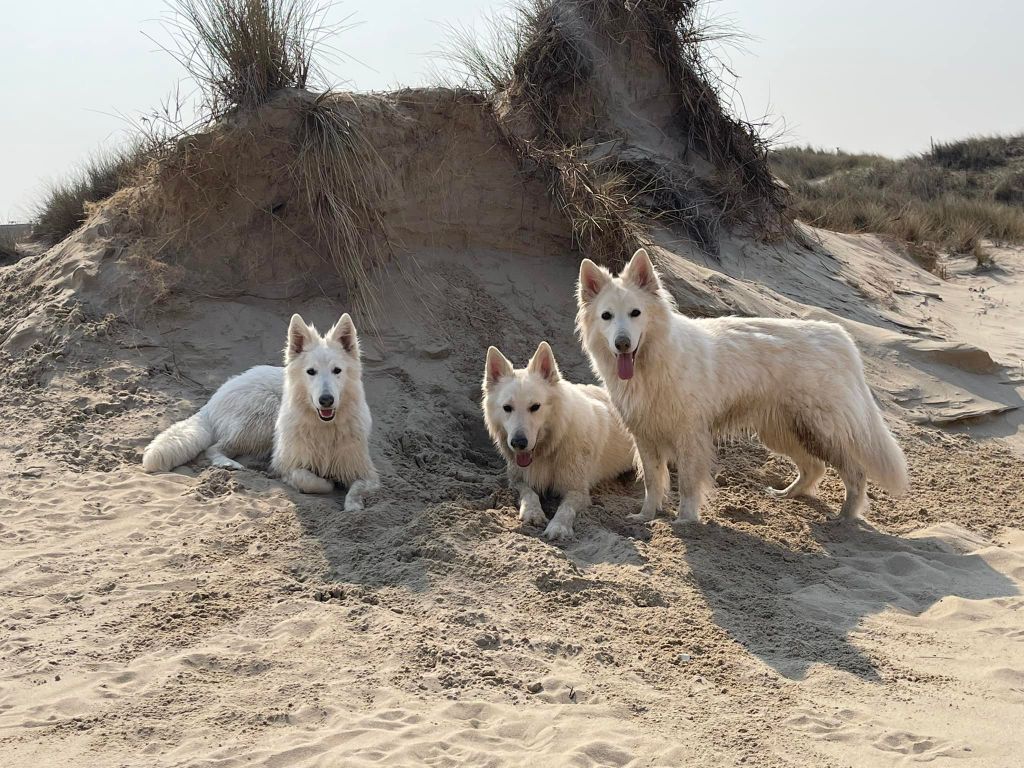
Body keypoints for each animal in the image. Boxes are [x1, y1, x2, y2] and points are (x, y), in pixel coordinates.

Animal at [142, 313, 378, 512]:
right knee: (213, 448)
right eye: (311, 372)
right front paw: (327, 482)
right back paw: (229, 463)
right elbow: (312, 482)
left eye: (337, 371)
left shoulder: (365, 472)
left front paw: (353, 505)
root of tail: (213, 400)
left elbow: (358, 489)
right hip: (262, 418)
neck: (325, 428)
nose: (326, 400)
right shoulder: (287, 463)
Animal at [483, 342, 634, 540]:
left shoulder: (577, 491)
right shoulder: (516, 481)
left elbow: (565, 508)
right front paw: (533, 512)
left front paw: (558, 527)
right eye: (507, 408)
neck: (551, 446)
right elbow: (529, 494)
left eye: (535, 407)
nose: (518, 443)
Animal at [577, 249, 905, 528]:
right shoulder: (645, 436)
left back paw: (845, 517)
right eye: (607, 316)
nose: (622, 344)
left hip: (820, 431)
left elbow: (687, 483)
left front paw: (685, 520)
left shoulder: (689, 436)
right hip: (784, 431)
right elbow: (652, 482)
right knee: (814, 468)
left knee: (856, 473)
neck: (653, 362)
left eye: (636, 313)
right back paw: (788, 495)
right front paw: (646, 516)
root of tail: (839, 336)